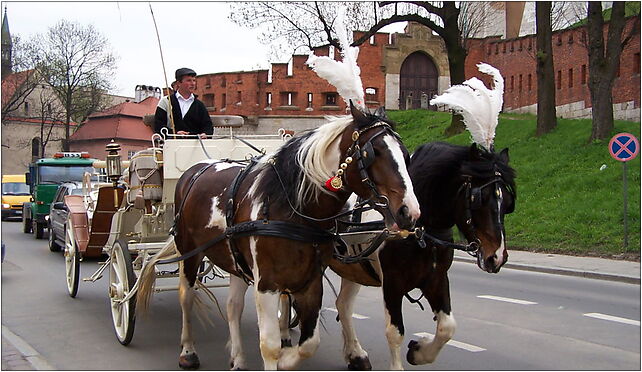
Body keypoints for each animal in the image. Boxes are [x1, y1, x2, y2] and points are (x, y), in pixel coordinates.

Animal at [137, 104, 418, 370]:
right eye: (373, 153)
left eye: (405, 156)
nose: (410, 212)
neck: (292, 210)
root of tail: (195, 168)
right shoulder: (266, 284)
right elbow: (269, 345)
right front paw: (280, 354)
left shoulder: (310, 282)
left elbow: (309, 343)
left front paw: (287, 358)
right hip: (190, 253)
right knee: (187, 297)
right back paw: (187, 351)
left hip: (236, 262)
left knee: (233, 307)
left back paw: (238, 358)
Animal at [324, 140, 516, 370]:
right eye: (480, 198)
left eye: (508, 203)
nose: (497, 256)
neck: (419, 231)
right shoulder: (392, 283)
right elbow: (395, 332)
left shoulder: (436, 278)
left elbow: (447, 327)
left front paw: (419, 351)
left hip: (354, 268)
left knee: (343, 306)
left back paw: (355, 354)